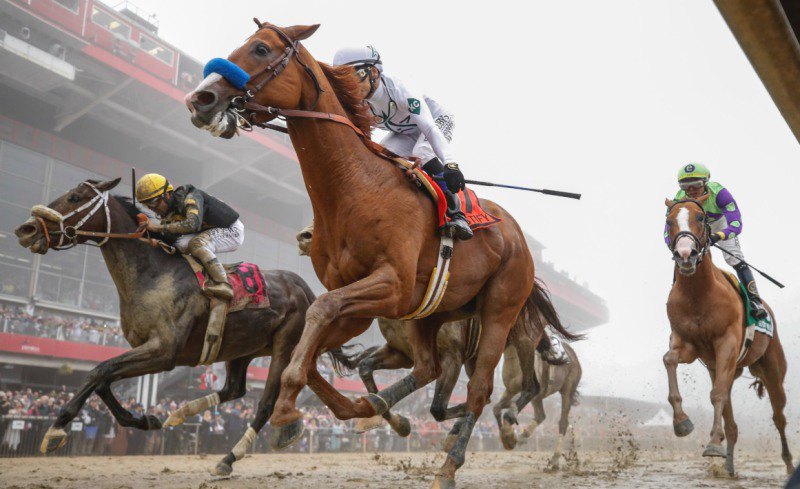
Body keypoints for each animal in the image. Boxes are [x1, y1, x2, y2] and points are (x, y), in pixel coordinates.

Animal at [13, 177, 354, 474]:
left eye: (75, 197)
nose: (26, 228)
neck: (153, 273)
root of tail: (303, 286)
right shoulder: (145, 348)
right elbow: (103, 380)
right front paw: (146, 419)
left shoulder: (164, 351)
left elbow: (98, 371)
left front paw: (56, 429)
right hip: (242, 348)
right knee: (233, 389)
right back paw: (179, 414)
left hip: (285, 345)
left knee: (265, 404)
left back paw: (228, 458)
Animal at [188, 21, 536, 486]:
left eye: (260, 49)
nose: (200, 99)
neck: (355, 185)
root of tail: (516, 235)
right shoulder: (362, 303)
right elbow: (311, 351)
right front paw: (350, 410)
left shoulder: (389, 285)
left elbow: (317, 317)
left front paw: (288, 411)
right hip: (433, 312)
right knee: (427, 368)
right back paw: (388, 412)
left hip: (499, 309)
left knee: (480, 389)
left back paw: (449, 464)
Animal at [664, 196, 792, 474]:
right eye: (669, 221)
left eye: (700, 217)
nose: (685, 254)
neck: (698, 294)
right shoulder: (686, 344)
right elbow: (669, 360)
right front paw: (682, 422)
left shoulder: (727, 345)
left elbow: (717, 395)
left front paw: (713, 443)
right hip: (727, 369)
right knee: (732, 423)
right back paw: (730, 467)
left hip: (771, 371)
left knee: (779, 417)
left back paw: (788, 464)